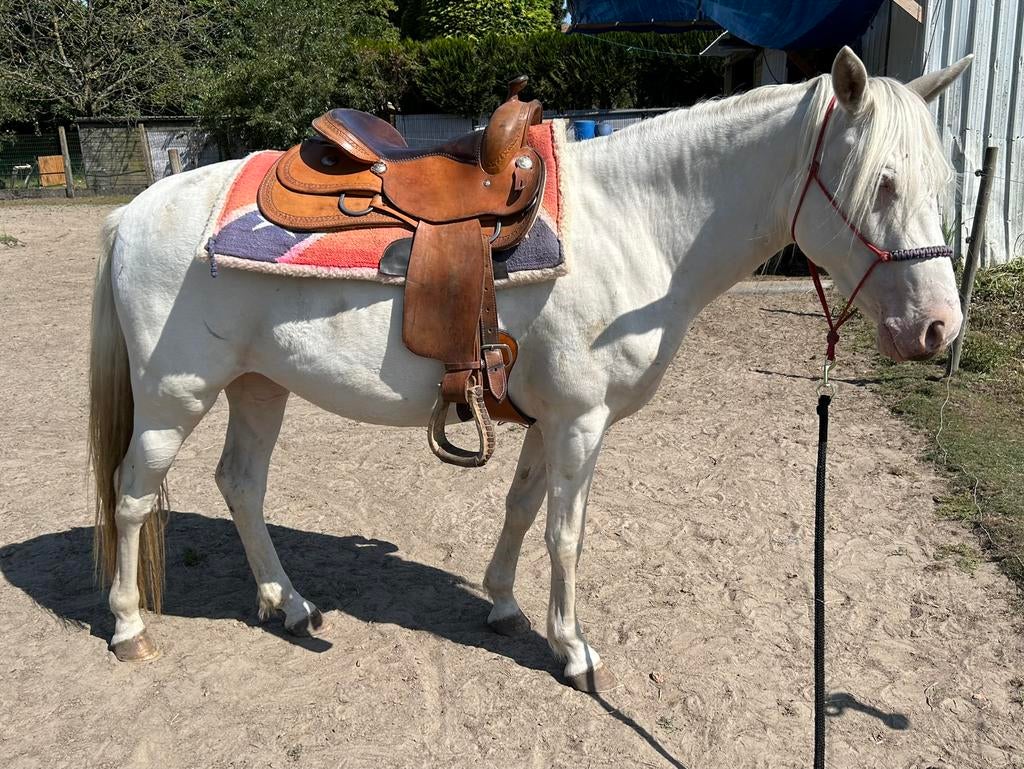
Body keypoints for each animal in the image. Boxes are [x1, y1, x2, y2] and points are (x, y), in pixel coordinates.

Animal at [89, 48, 971, 691]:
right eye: (882, 184)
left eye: (941, 183)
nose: (938, 327)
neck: (633, 223)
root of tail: (133, 212)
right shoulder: (582, 421)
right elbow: (565, 532)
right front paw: (573, 649)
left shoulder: (548, 419)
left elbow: (519, 510)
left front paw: (507, 606)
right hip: (174, 394)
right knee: (132, 496)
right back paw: (130, 625)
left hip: (257, 385)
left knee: (240, 483)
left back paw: (289, 602)